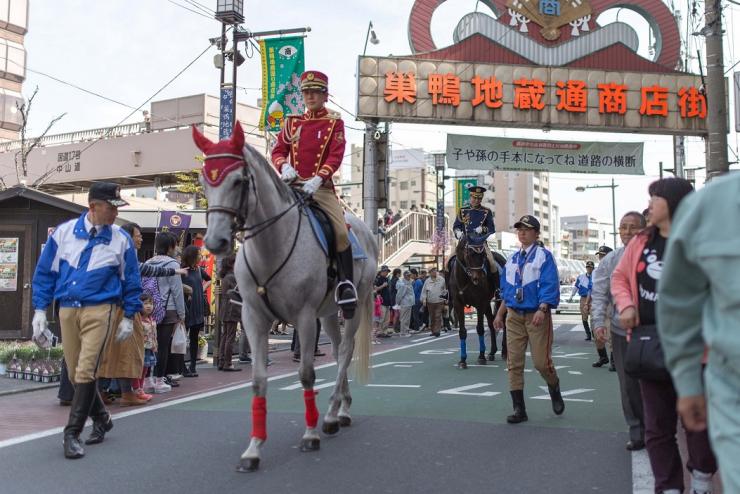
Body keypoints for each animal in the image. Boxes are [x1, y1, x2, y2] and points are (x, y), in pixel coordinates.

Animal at [192, 122, 376, 470]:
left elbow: (306, 374)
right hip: (327, 313)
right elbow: (258, 380)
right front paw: (253, 449)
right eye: (204, 181)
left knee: (346, 351)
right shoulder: (252, 318)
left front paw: (310, 435)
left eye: (238, 181)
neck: (272, 245)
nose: (215, 242)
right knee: (338, 350)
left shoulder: (303, 317)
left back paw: (330, 415)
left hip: (354, 306)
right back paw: (339, 412)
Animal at [446, 236, 508, 370]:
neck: (465, 279)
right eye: (469, 254)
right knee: (491, 323)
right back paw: (492, 352)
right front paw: (463, 360)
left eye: (483, 255)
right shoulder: (458, 304)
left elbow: (480, 329)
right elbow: (462, 331)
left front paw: (481, 357)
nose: (478, 278)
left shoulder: (479, 303)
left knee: (504, 324)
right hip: (487, 304)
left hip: (499, 301)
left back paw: (504, 352)